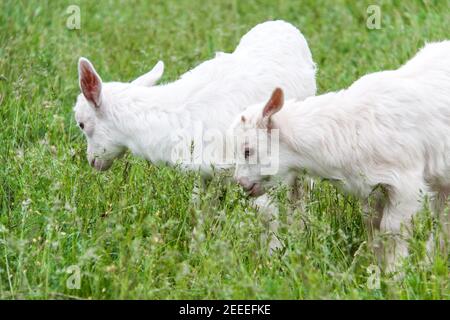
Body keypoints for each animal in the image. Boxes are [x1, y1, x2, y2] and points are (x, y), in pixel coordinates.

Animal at [230, 40, 450, 272]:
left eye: (247, 150)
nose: (241, 183)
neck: (351, 127)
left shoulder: (406, 184)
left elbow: (391, 230)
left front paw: (393, 272)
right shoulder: (373, 188)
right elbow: (373, 226)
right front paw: (375, 268)